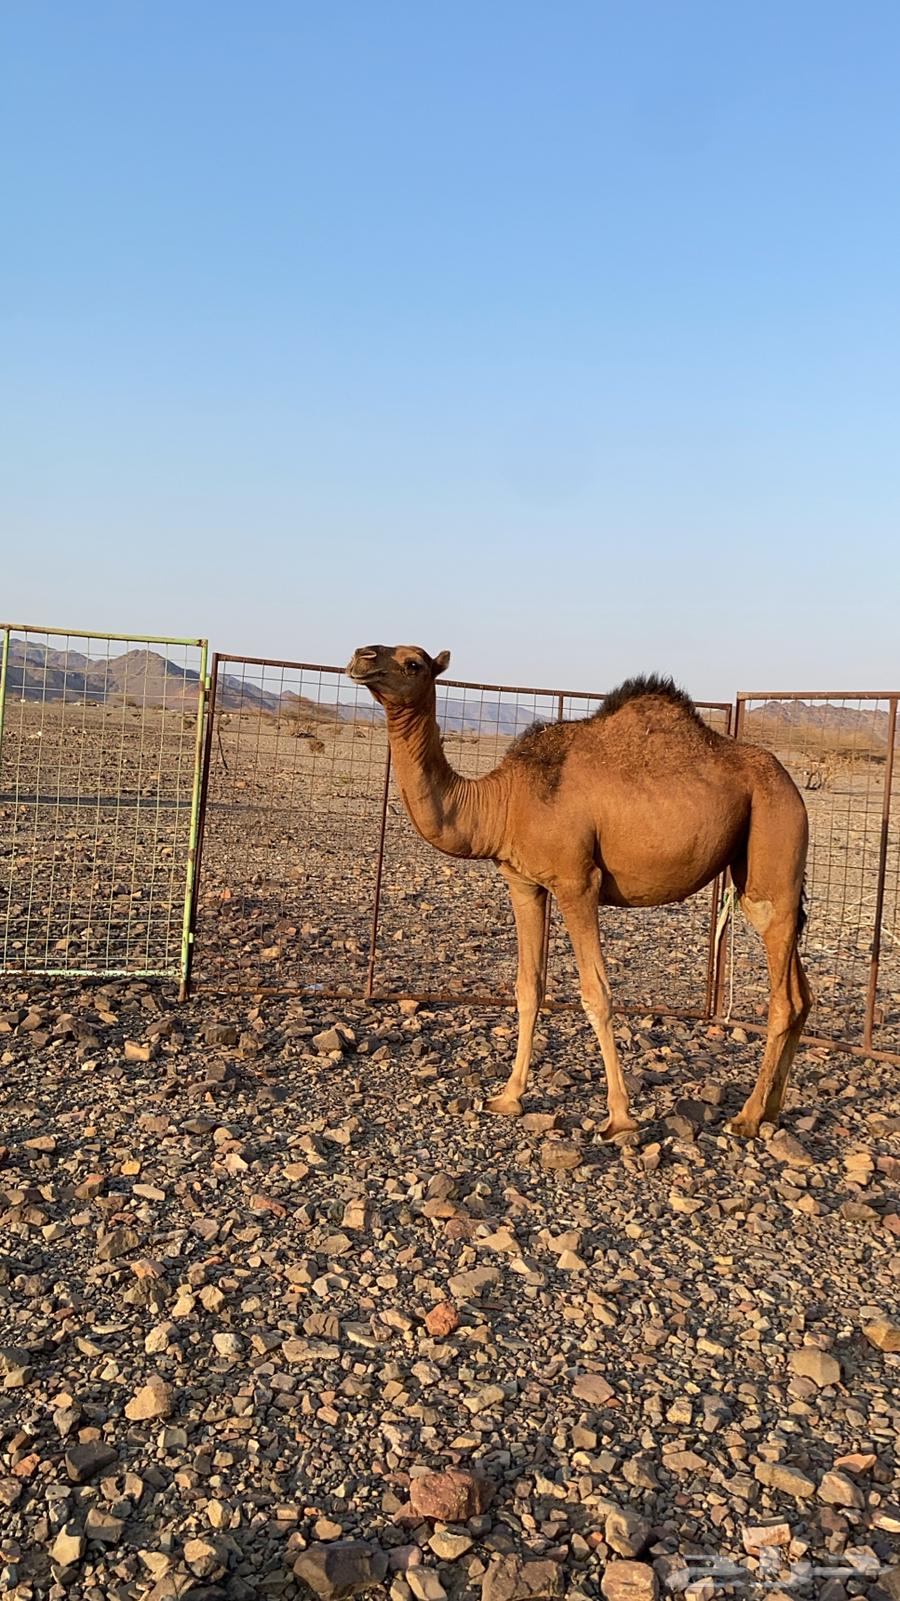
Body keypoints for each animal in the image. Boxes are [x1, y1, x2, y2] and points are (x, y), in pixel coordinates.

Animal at [347, 644, 812, 1138]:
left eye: (414, 663)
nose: (361, 656)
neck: (502, 801)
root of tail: (791, 785)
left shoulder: (577, 883)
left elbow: (596, 994)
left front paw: (620, 1119)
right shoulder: (524, 883)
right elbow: (528, 986)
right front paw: (507, 1098)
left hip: (773, 839)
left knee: (782, 994)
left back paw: (746, 1117)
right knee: (801, 995)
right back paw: (773, 1109)